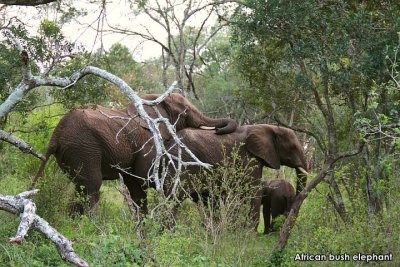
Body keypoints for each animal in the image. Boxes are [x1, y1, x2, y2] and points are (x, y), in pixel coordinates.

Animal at [33, 93, 238, 215]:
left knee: (80, 188)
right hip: (83, 147)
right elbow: (144, 176)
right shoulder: (148, 139)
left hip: (72, 152)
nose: (219, 130)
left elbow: (135, 186)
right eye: (186, 112)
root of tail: (56, 134)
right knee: (92, 187)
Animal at [164, 124, 308, 225]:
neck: (269, 127)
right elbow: (253, 191)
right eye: (293, 148)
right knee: (173, 198)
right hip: (180, 163)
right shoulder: (249, 158)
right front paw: (250, 235)